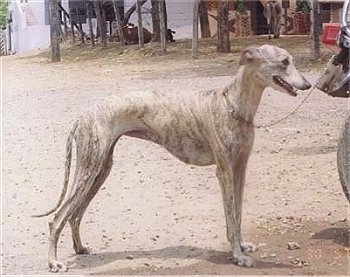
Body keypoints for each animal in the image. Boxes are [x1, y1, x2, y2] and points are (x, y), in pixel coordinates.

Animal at [33, 44, 312, 270]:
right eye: (284, 61)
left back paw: (80, 249)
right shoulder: (224, 171)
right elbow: (231, 216)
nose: (308, 85)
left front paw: (242, 247)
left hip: (101, 169)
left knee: (75, 215)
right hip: (89, 169)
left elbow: (238, 214)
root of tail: (84, 114)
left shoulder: (240, 168)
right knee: (58, 218)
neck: (232, 105)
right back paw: (53, 262)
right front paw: (238, 256)